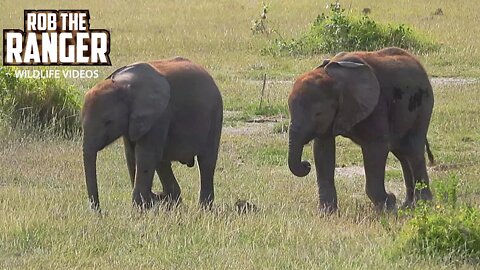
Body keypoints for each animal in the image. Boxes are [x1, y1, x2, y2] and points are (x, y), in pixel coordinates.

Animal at [82, 56, 223, 209]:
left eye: (108, 121)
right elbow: (131, 154)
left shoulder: (159, 115)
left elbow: (145, 155)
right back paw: (171, 200)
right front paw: (149, 204)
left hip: (215, 115)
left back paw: (202, 208)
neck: (124, 86)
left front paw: (141, 208)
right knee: (162, 162)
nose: (99, 212)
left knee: (206, 163)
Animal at [288, 47, 436, 212]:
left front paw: (388, 206)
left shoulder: (377, 105)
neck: (333, 77)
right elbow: (323, 150)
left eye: (318, 113)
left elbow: (376, 148)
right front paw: (326, 213)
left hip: (423, 105)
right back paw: (408, 205)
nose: (306, 164)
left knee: (413, 149)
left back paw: (423, 204)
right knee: (402, 152)